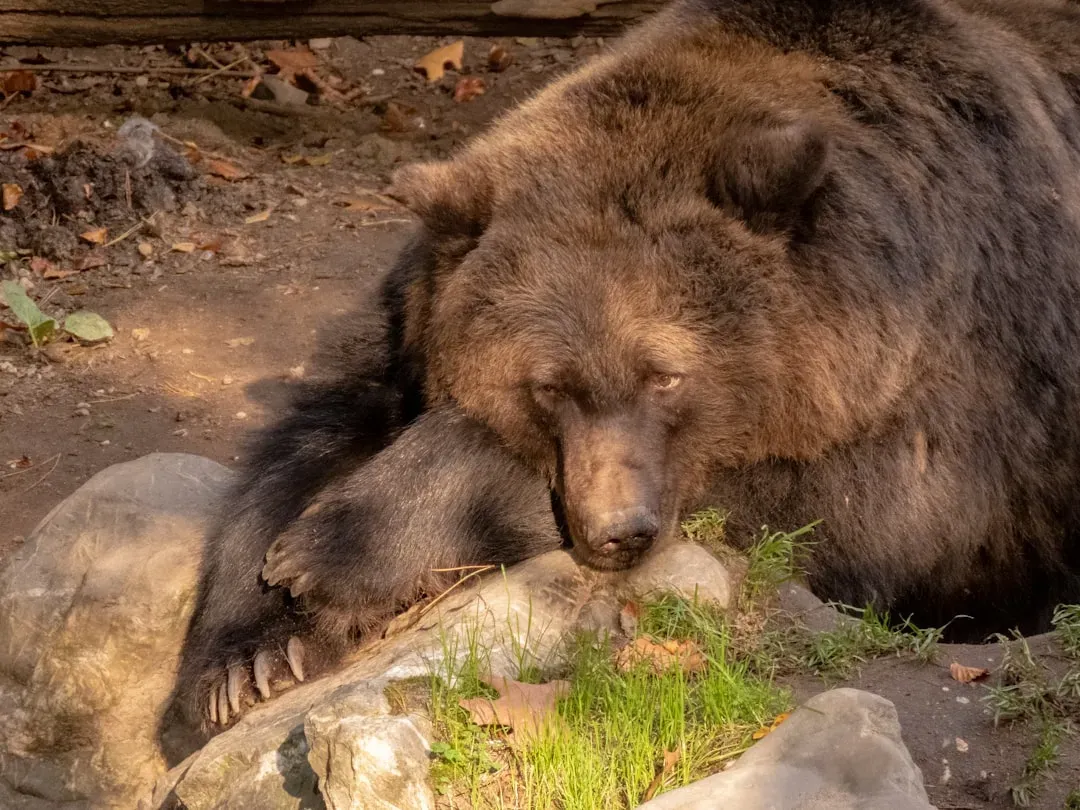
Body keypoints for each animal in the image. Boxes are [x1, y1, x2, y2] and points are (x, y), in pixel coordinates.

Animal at [170, 0, 1080, 734]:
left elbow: (848, 510)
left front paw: (333, 551)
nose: (622, 531)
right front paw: (250, 655)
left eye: (666, 375)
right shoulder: (411, 327)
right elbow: (319, 428)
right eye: (548, 386)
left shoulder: (947, 389)